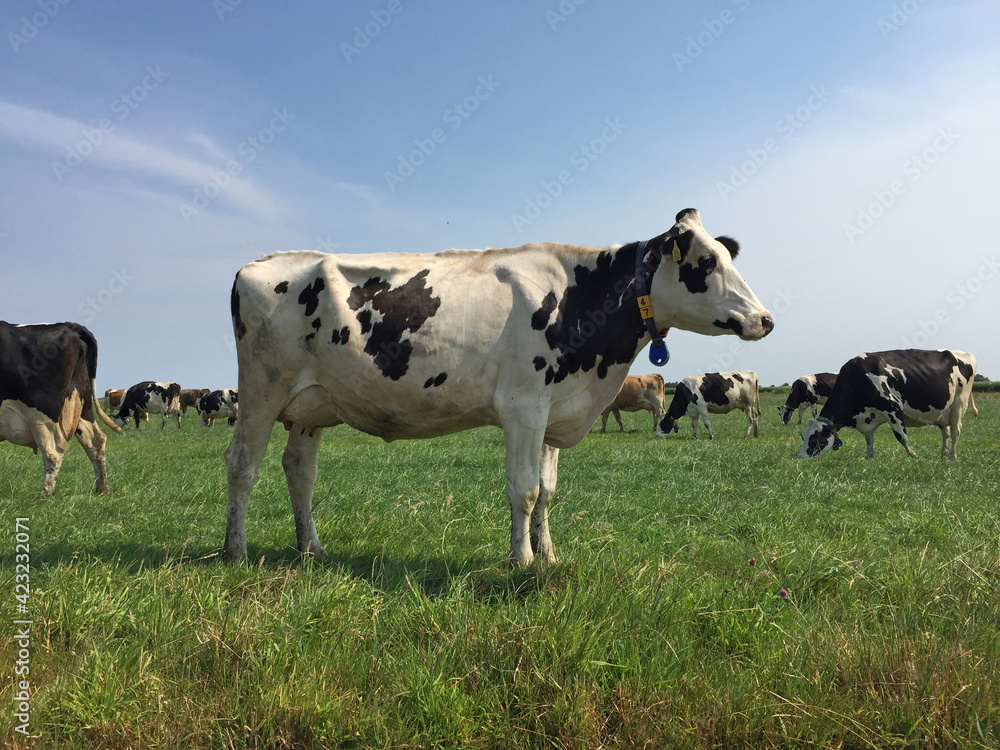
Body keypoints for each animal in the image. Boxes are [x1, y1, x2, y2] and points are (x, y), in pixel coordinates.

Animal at [0, 320, 124, 496]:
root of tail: (69, 325)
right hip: (83, 405)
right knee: (96, 440)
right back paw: (103, 489)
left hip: (41, 414)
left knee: (54, 451)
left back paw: (43, 496)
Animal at [227, 209, 772, 568]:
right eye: (706, 262)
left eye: (725, 255)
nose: (765, 319)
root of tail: (258, 262)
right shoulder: (523, 406)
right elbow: (524, 490)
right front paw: (522, 561)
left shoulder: (554, 409)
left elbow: (548, 491)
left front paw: (548, 554)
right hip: (260, 389)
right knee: (243, 465)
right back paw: (236, 550)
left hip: (310, 406)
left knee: (300, 471)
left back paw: (312, 550)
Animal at [804, 352, 976, 462]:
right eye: (803, 437)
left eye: (814, 440)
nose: (801, 458)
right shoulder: (868, 418)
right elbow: (869, 440)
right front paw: (869, 458)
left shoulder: (892, 408)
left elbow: (901, 436)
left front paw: (913, 456)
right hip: (943, 411)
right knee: (945, 432)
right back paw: (943, 454)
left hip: (958, 404)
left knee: (955, 431)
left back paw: (952, 456)